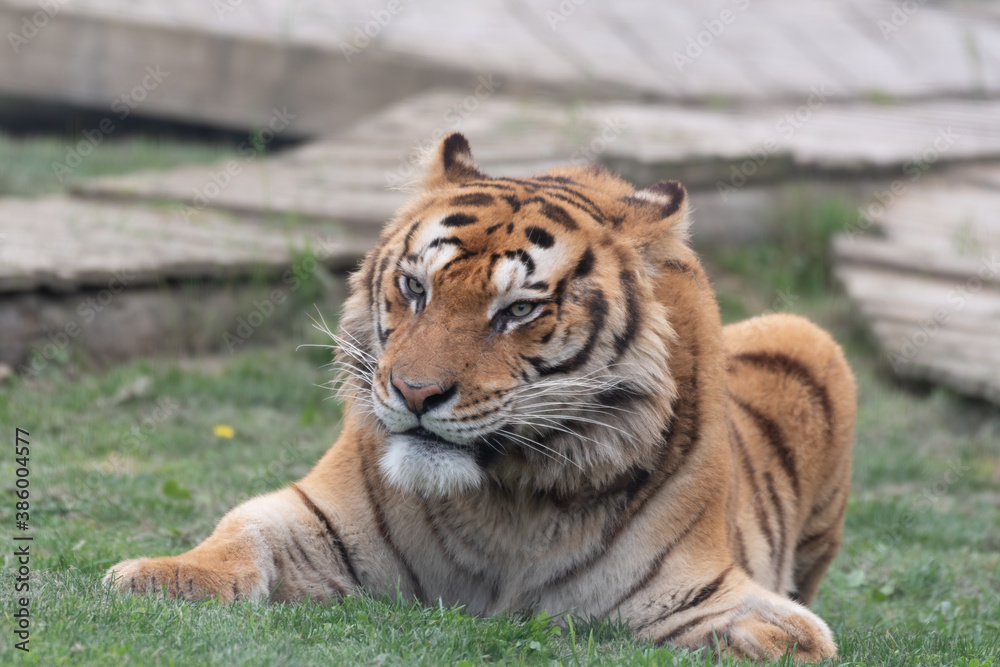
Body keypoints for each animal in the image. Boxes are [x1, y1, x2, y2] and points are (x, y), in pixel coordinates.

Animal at [105, 133, 856, 662]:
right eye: (415, 288)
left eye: (518, 310)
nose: (415, 392)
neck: (506, 498)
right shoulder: (316, 516)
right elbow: (239, 531)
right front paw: (158, 577)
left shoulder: (704, 591)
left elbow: (788, 634)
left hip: (811, 339)